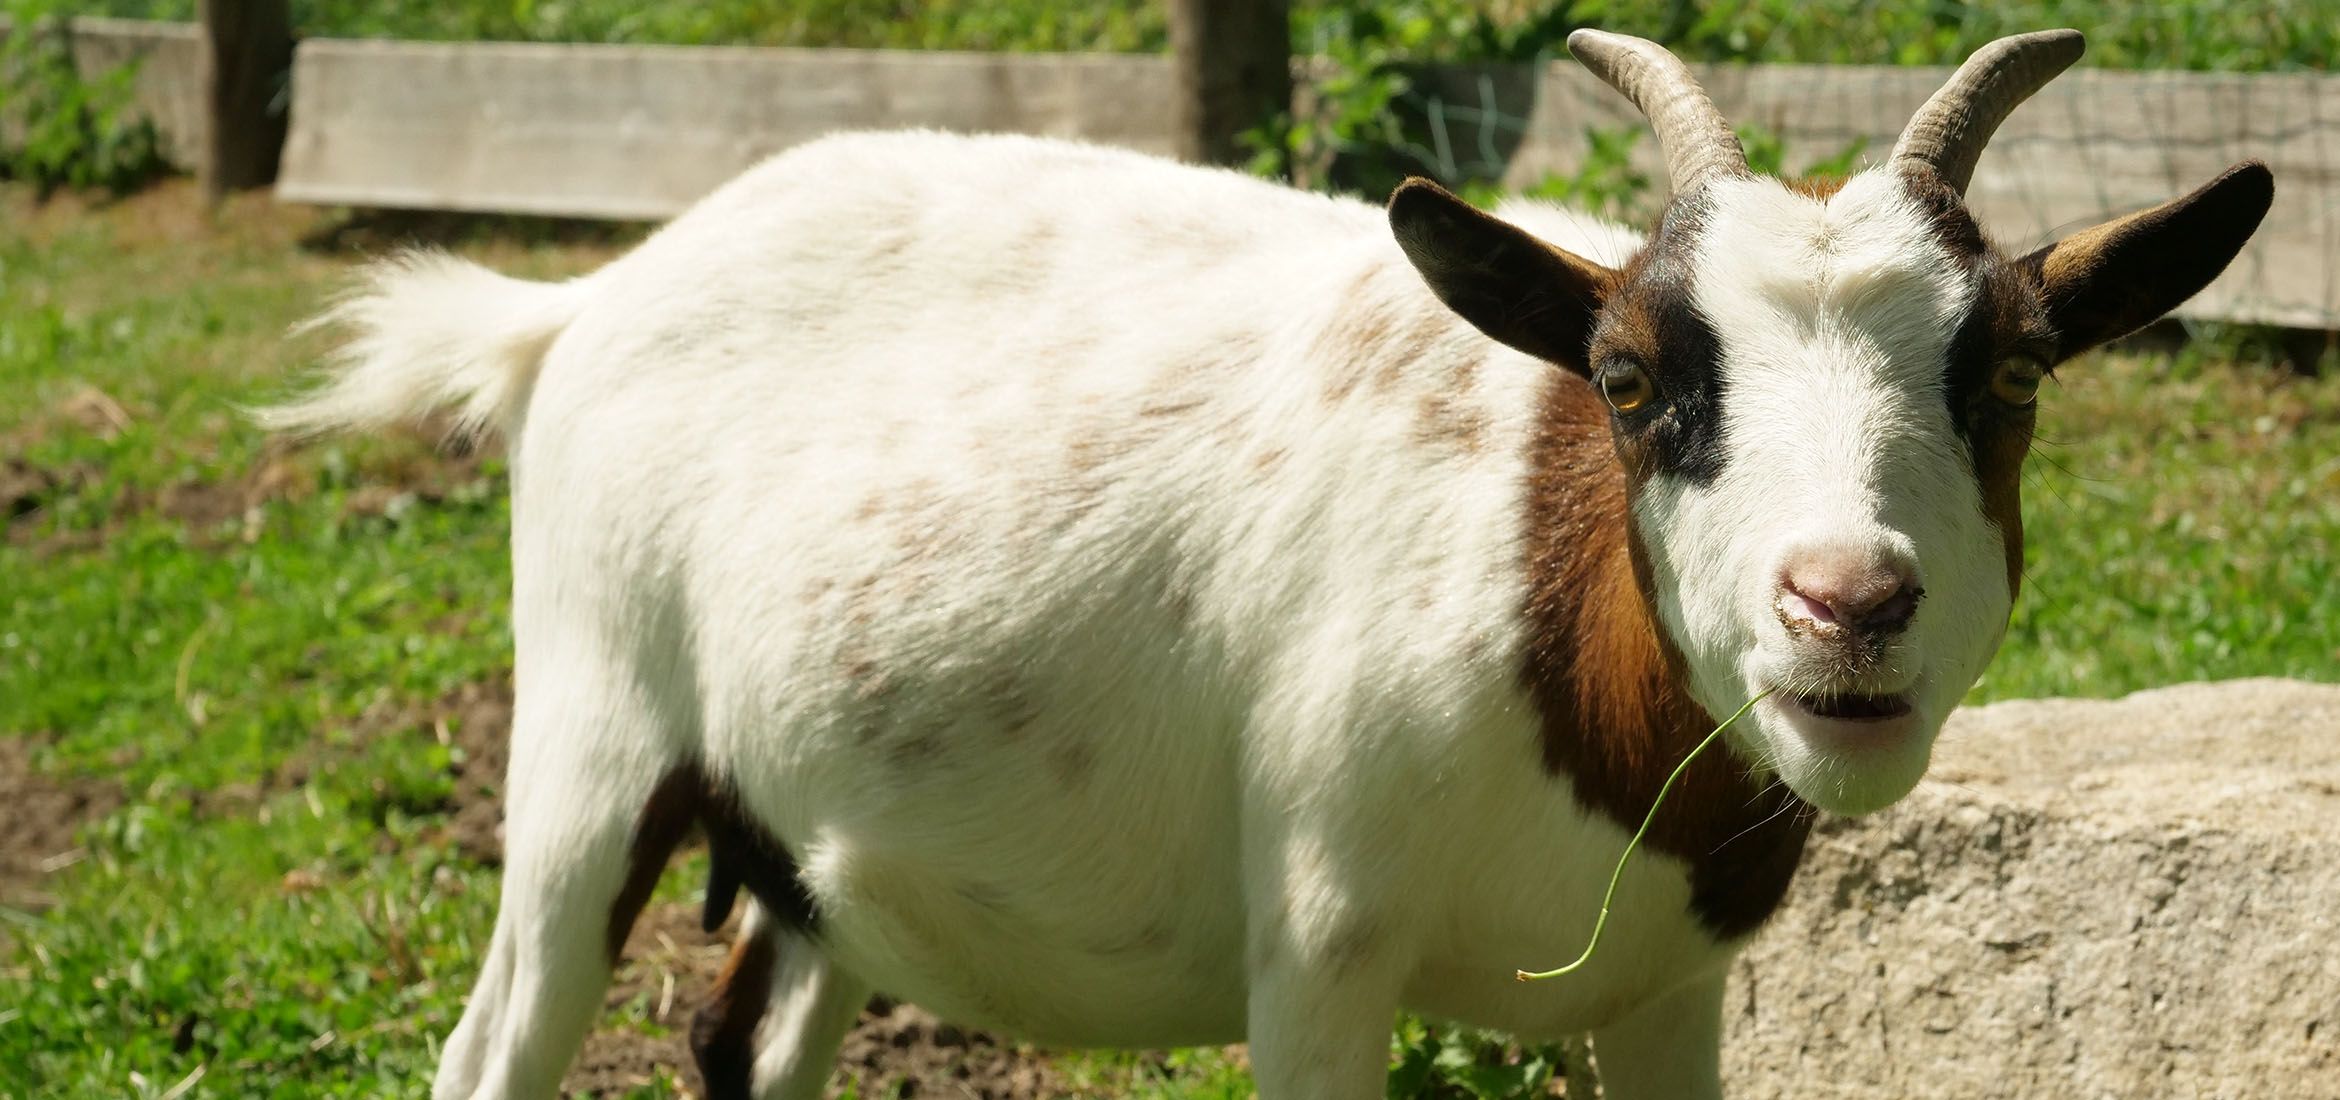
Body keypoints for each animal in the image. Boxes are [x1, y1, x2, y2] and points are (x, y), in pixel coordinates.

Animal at [260, 25, 2265, 1100]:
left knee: (750, 1032)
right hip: (591, 742)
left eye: (2012, 374)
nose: (1848, 604)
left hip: (805, 840)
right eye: (1631, 379)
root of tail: (581, 304)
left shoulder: (1671, 989)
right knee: (501, 1041)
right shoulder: (1319, 940)